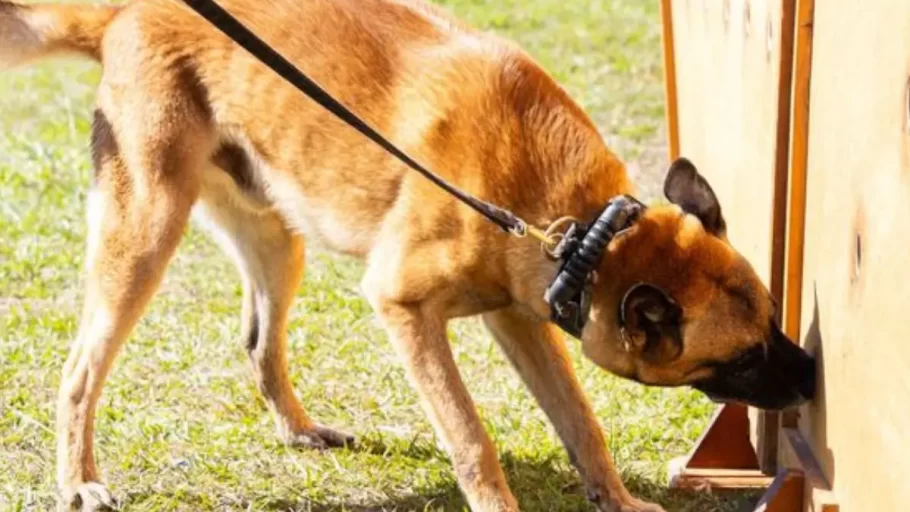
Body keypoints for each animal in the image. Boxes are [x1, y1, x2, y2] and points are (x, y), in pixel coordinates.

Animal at [1, 0, 820, 510]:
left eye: (774, 320)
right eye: (745, 357)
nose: (813, 375)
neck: (581, 230)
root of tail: (126, 14)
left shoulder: (520, 318)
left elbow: (580, 420)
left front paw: (615, 499)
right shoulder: (403, 308)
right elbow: (470, 436)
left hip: (277, 240)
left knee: (260, 345)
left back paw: (299, 431)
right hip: (143, 238)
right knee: (79, 373)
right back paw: (79, 481)